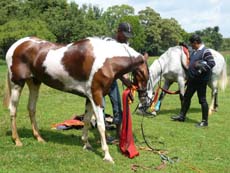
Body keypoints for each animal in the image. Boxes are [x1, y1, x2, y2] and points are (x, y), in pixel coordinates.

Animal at [3, 36, 150, 164]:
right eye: (144, 73)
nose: (145, 99)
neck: (106, 61)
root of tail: (16, 45)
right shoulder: (96, 96)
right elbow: (101, 125)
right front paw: (107, 156)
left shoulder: (89, 97)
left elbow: (87, 120)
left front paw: (86, 144)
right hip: (17, 84)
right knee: (13, 110)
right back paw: (17, 140)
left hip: (34, 83)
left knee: (31, 109)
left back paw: (39, 137)